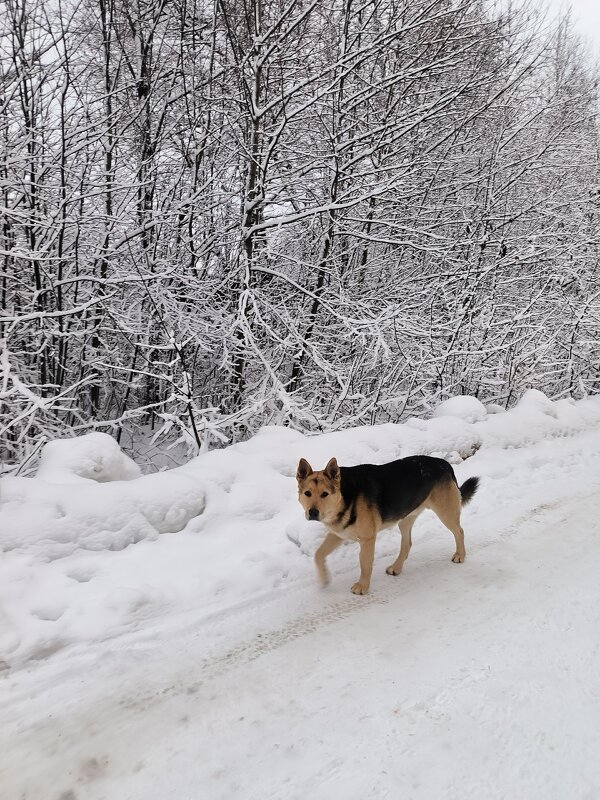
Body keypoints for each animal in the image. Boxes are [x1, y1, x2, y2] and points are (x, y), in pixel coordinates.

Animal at [296, 456, 478, 592]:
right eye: (307, 493)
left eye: (325, 494)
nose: (312, 512)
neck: (345, 497)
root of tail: (445, 464)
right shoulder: (338, 533)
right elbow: (318, 554)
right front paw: (324, 579)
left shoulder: (368, 539)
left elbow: (365, 564)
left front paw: (362, 587)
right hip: (405, 518)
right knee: (407, 544)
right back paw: (396, 567)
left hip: (445, 512)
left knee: (459, 531)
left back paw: (460, 555)